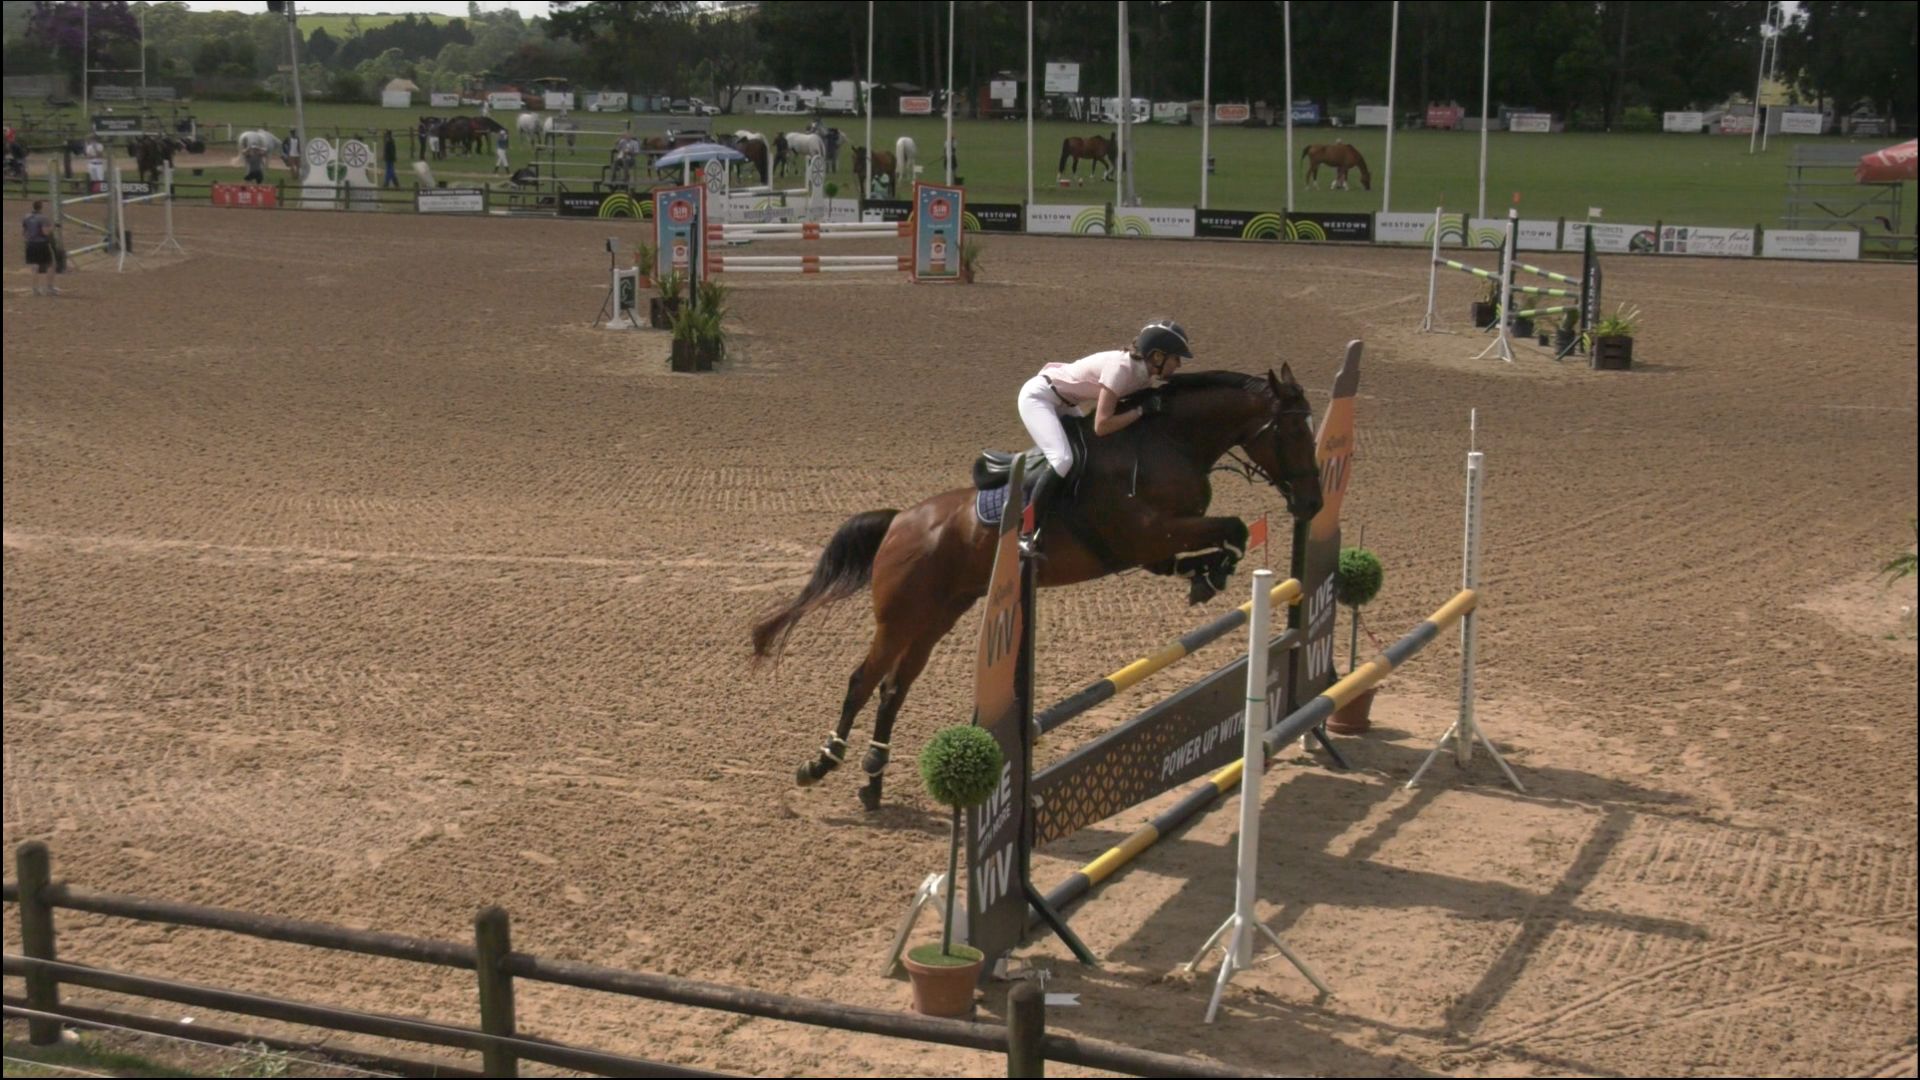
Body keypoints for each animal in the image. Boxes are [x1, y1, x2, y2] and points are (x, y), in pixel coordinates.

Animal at [750, 367, 1325, 812]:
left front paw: (1209, 575)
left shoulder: (1154, 549)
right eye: (1293, 432)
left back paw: (872, 779)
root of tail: (900, 522)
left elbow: (1224, 538)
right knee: (861, 681)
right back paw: (820, 763)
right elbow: (1231, 527)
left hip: (939, 616)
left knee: (894, 687)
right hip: (899, 617)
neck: (1167, 442)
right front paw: (1212, 573)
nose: (1314, 503)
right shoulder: (1148, 534)